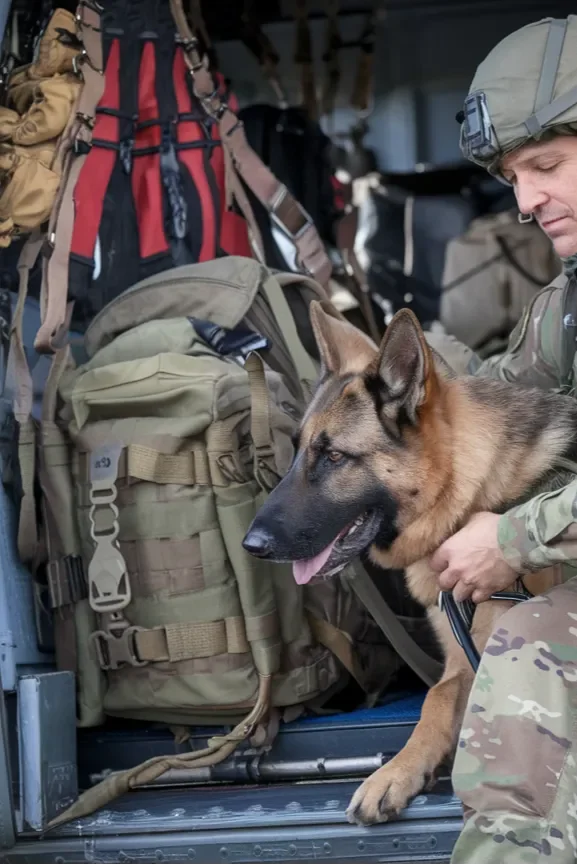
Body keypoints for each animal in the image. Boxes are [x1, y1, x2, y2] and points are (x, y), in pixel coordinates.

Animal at [242, 302, 576, 824]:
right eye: (297, 451)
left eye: (333, 456)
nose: (250, 545)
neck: (471, 493)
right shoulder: (464, 658)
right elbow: (435, 699)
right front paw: (396, 772)